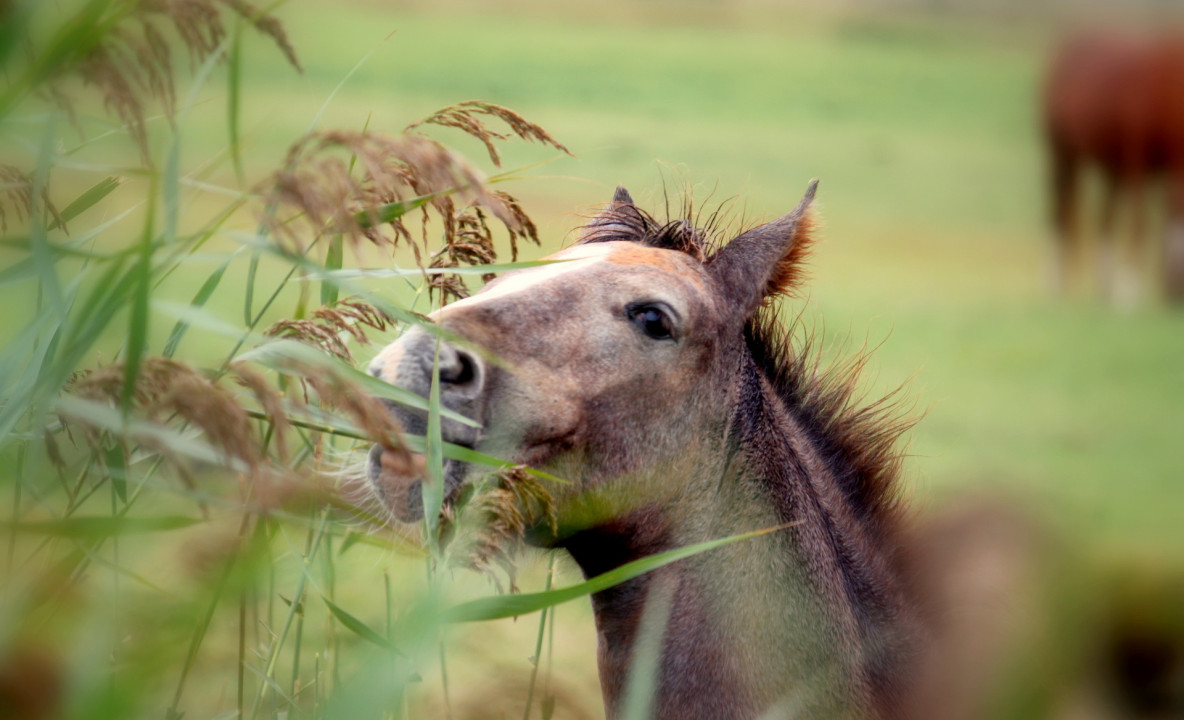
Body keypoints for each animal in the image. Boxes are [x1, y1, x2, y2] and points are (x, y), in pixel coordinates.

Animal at [1041, 30, 1184, 305]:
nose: (1175, 297)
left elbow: (1161, 223)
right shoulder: (1136, 162)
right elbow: (1140, 224)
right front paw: (1128, 292)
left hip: (1110, 169)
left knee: (1104, 218)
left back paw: (1103, 285)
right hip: (1062, 154)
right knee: (1061, 211)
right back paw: (1056, 284)